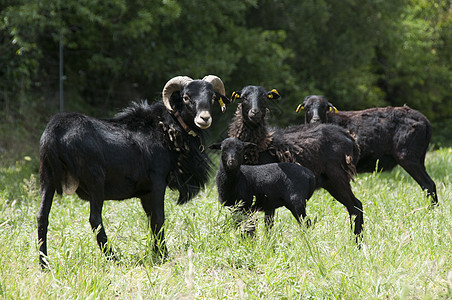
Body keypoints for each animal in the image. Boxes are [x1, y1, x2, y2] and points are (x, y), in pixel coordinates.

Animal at [298, 95, 436, 205]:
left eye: (324, 107)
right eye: (307, 107)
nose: (315, 120)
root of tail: (425, 121)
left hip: (408, 156)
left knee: (428, 184)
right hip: (419, 158)